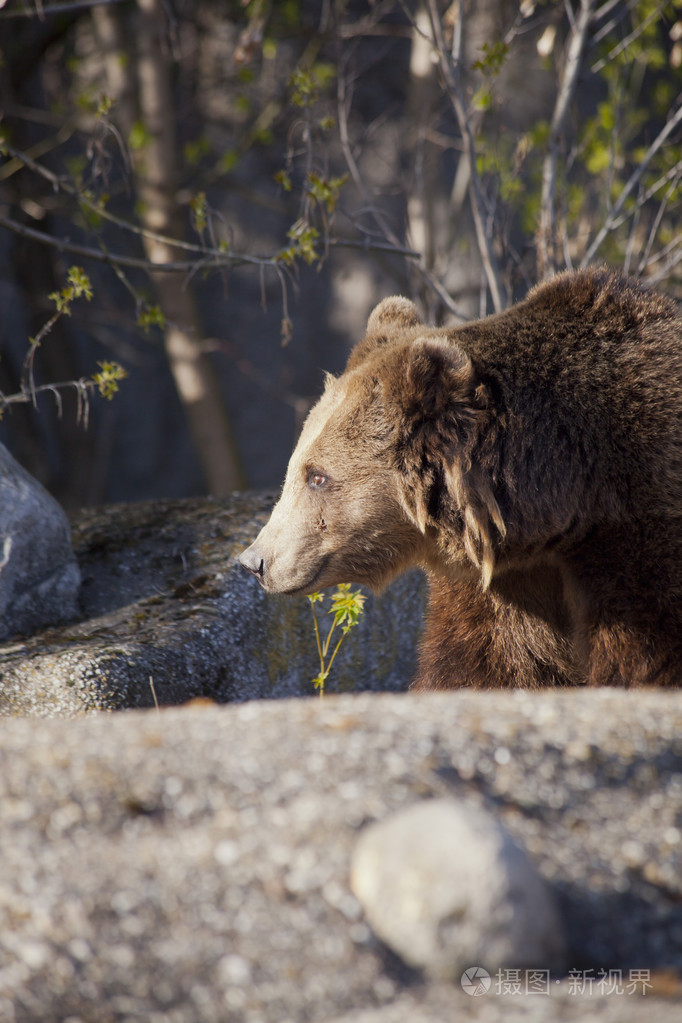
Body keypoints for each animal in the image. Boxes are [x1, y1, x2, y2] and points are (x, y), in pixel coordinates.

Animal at [240, 268, 682, 691]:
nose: (254, 561)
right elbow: (487, 662)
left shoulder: (638, 541)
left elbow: (647, 657)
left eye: (317, 477)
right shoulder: (505, 580)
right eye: (295, 467)